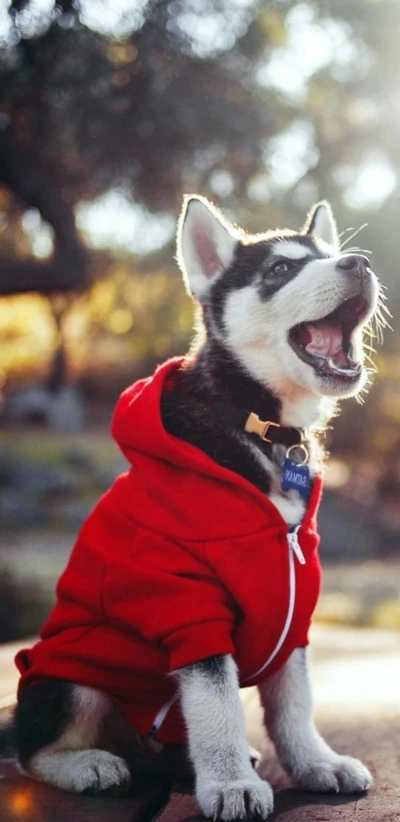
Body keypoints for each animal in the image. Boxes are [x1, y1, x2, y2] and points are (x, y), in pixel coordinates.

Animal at [8, 196, 382, 820]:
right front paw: (230, 783)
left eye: (329, 255)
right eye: (280, 269)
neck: (262, 428)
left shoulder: (294, 602)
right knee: (31, 750)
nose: (361, 262)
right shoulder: (186, 602)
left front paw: (315, 762)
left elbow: (294, 701)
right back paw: (89, 764)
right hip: (68, 680)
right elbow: (216, 702)